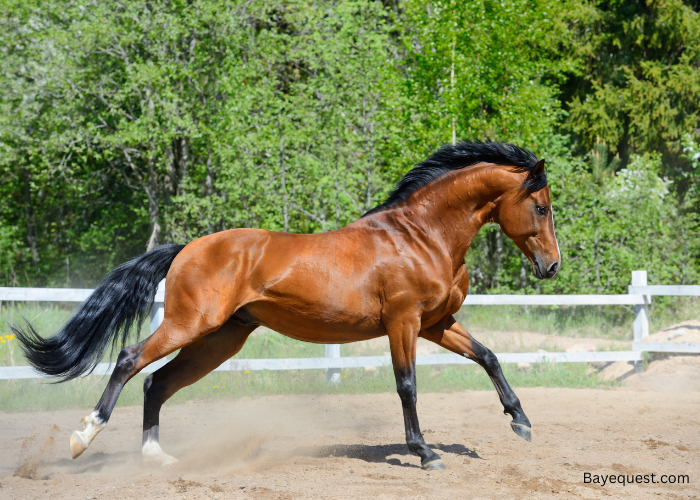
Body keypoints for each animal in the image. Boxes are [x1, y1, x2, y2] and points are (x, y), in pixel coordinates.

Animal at [14, 140, 560, 470]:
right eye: (540, 207)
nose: (551, 267)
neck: (421, 238)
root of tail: (188, 248)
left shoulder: (437, 322)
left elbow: (488, 356)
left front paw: (521, 422)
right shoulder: (403, 322)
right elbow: (407, 385)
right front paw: (425, 452)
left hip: (221, 339)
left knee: (158, 382)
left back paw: (157, 457)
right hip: (191, 324)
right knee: (130, 361)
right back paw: (84, 437)